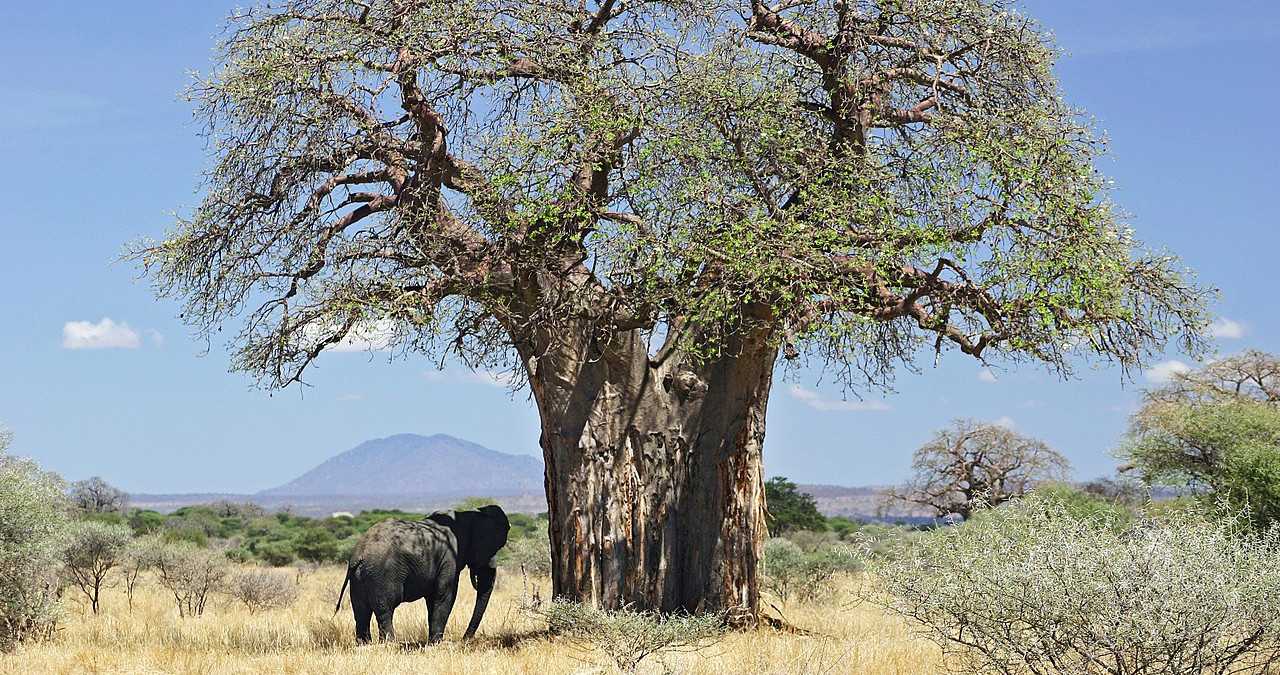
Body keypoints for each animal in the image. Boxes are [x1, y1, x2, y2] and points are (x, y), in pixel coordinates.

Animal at [335, 507, 509, 645]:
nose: (464, 639)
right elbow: (445, 596)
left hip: (359, 577)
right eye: (490, 548)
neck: (464, 516)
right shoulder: (449, 558)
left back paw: (364, 645)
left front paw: (433, 641)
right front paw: (437, 643)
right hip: (381, 574)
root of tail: (358, 555)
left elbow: (432, 599)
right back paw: (390, 643)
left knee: (360, 611)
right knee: (385, 608)